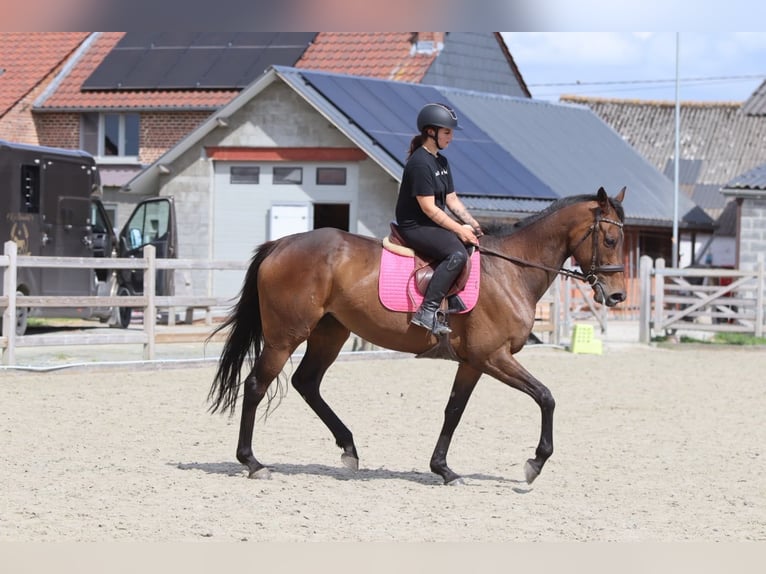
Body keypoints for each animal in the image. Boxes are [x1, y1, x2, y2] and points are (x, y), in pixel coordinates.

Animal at [208, 186, 627, 485]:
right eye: (610, 241)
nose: (618, 296)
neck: (510, 271)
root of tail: (281, 243)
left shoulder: (474, 362)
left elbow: (454, 411)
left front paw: (443, 469)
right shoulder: (493, 356)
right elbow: (546, 397)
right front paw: (535, 463)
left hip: (331, 333)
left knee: (306, 382)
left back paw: (349, 448)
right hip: (286, 336)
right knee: (256, 385)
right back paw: (253, 462)